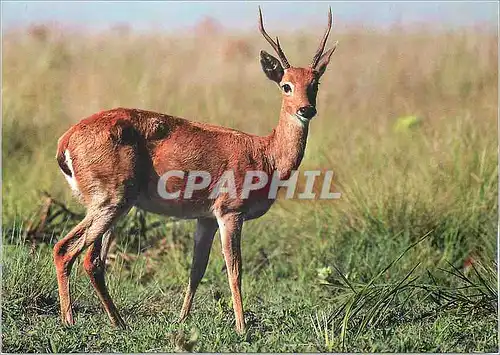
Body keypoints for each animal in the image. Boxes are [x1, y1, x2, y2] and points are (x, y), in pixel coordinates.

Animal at [53, 6, 336, 336]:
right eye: (286, 85)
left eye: (315, 84)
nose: (306, 110)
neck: (265, 153)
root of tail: (67, 139)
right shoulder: (230, 214)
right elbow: (234, 270)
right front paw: (242, 327)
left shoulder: (206, 219)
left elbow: (196, 270)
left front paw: (181, 320)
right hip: (111, 205)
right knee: (65, 249)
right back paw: (70, 320)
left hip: (110, 210)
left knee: (92, 261)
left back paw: (118, 322)